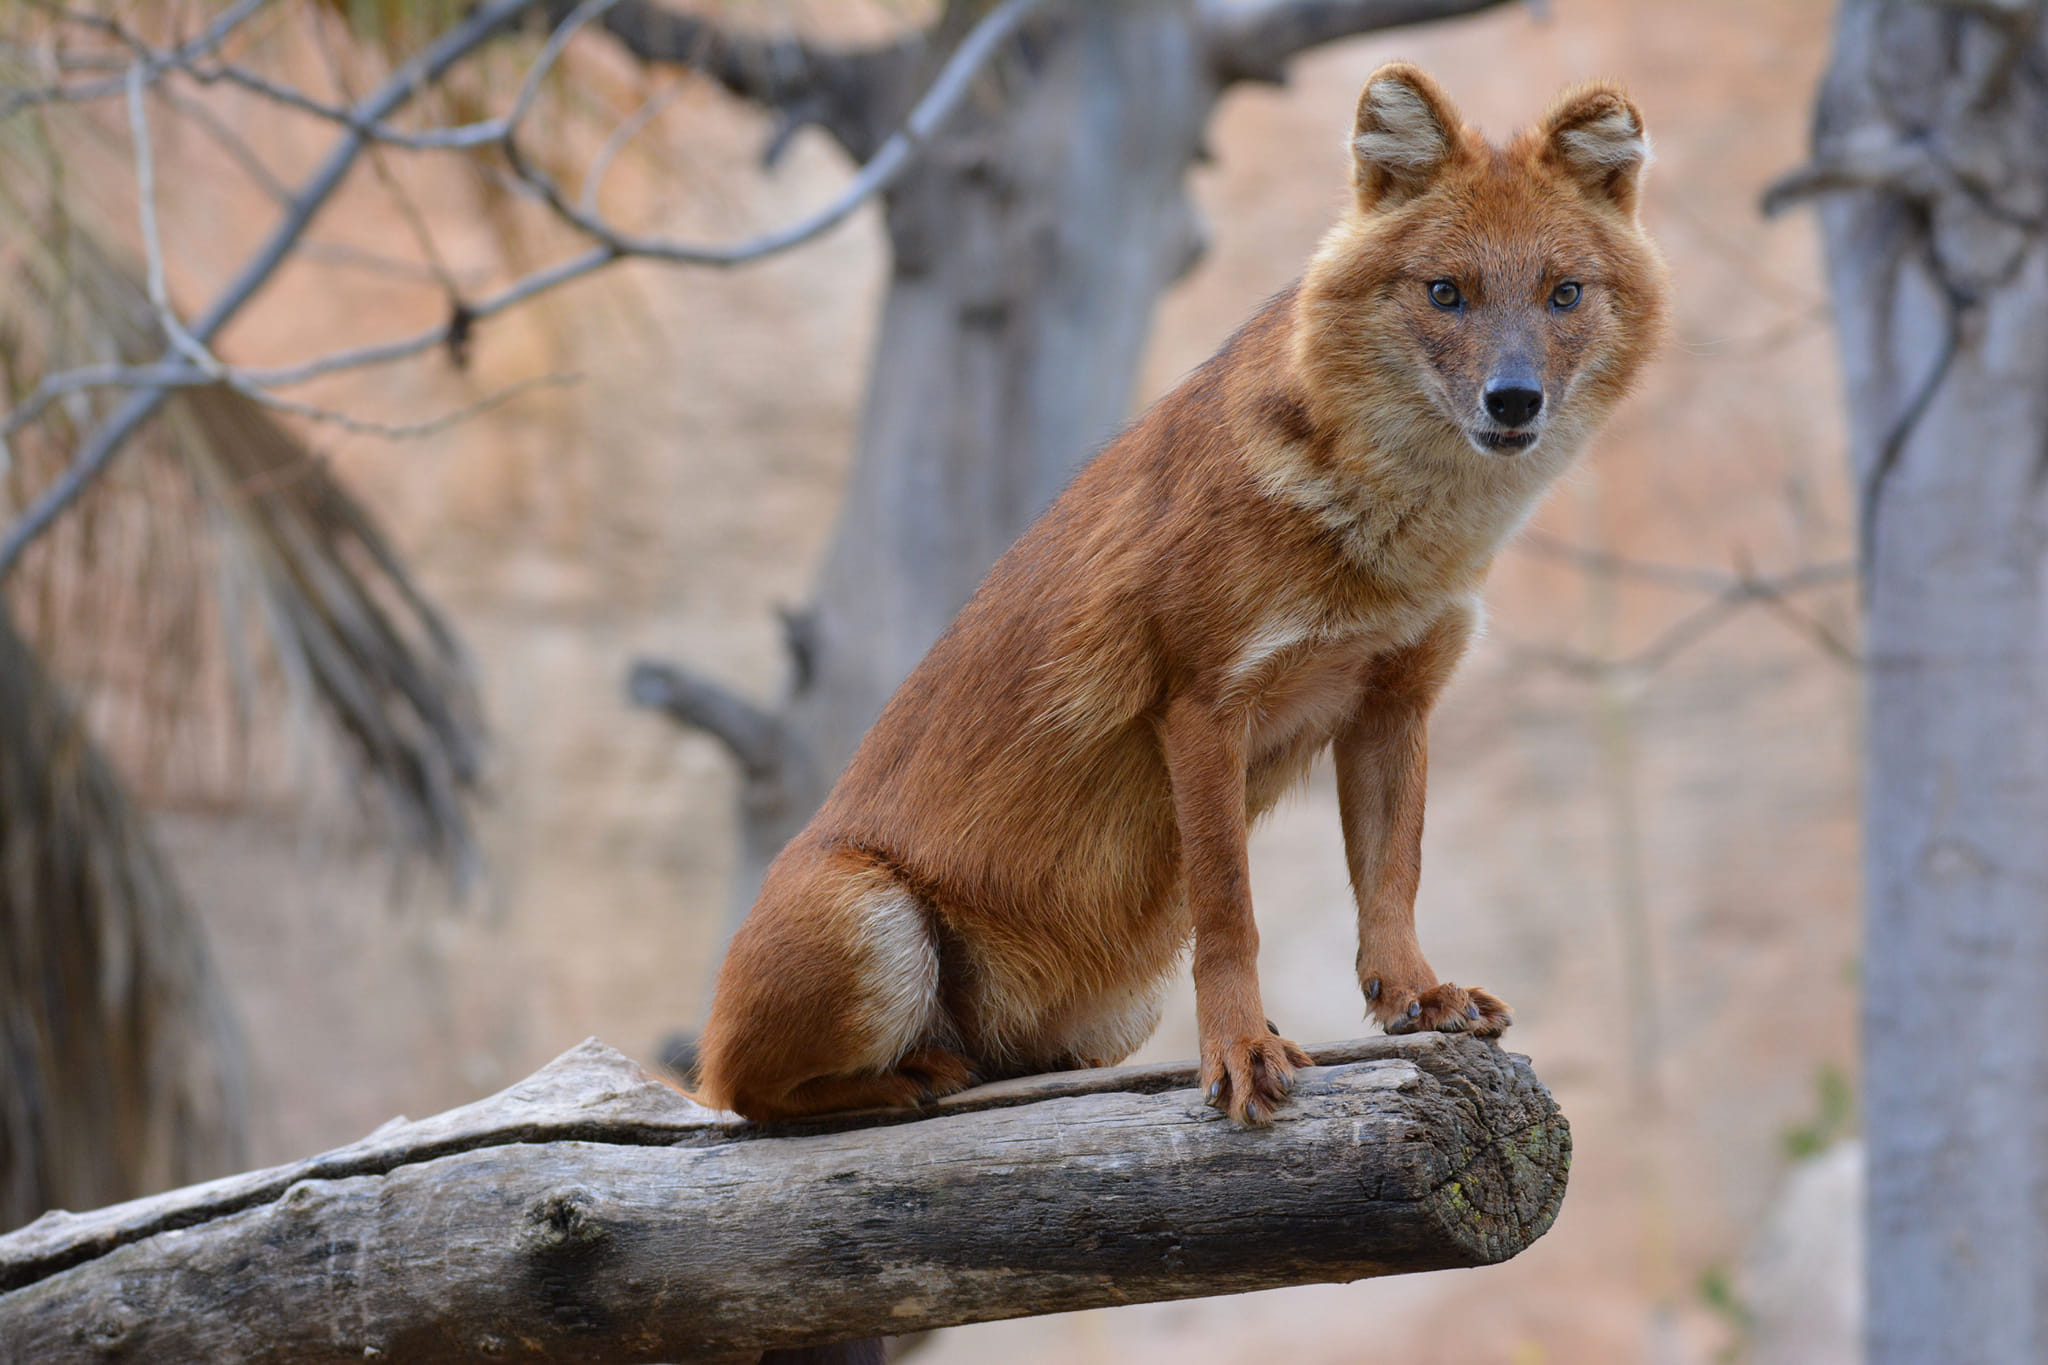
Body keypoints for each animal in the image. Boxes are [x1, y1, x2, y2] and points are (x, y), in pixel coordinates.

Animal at [692, 61, 1662, 1129]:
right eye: (1445, 292)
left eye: (1565, 293)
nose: (1514, 398)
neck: (1398, 535)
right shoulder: (1200, 703)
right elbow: (1229, 906)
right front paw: (1239, 1048)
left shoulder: (1393, 698)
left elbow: (1392, 876)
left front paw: (1415, 994)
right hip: (870, 918)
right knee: (745, 1094)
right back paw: (910, 1076)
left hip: (1113, 1008)